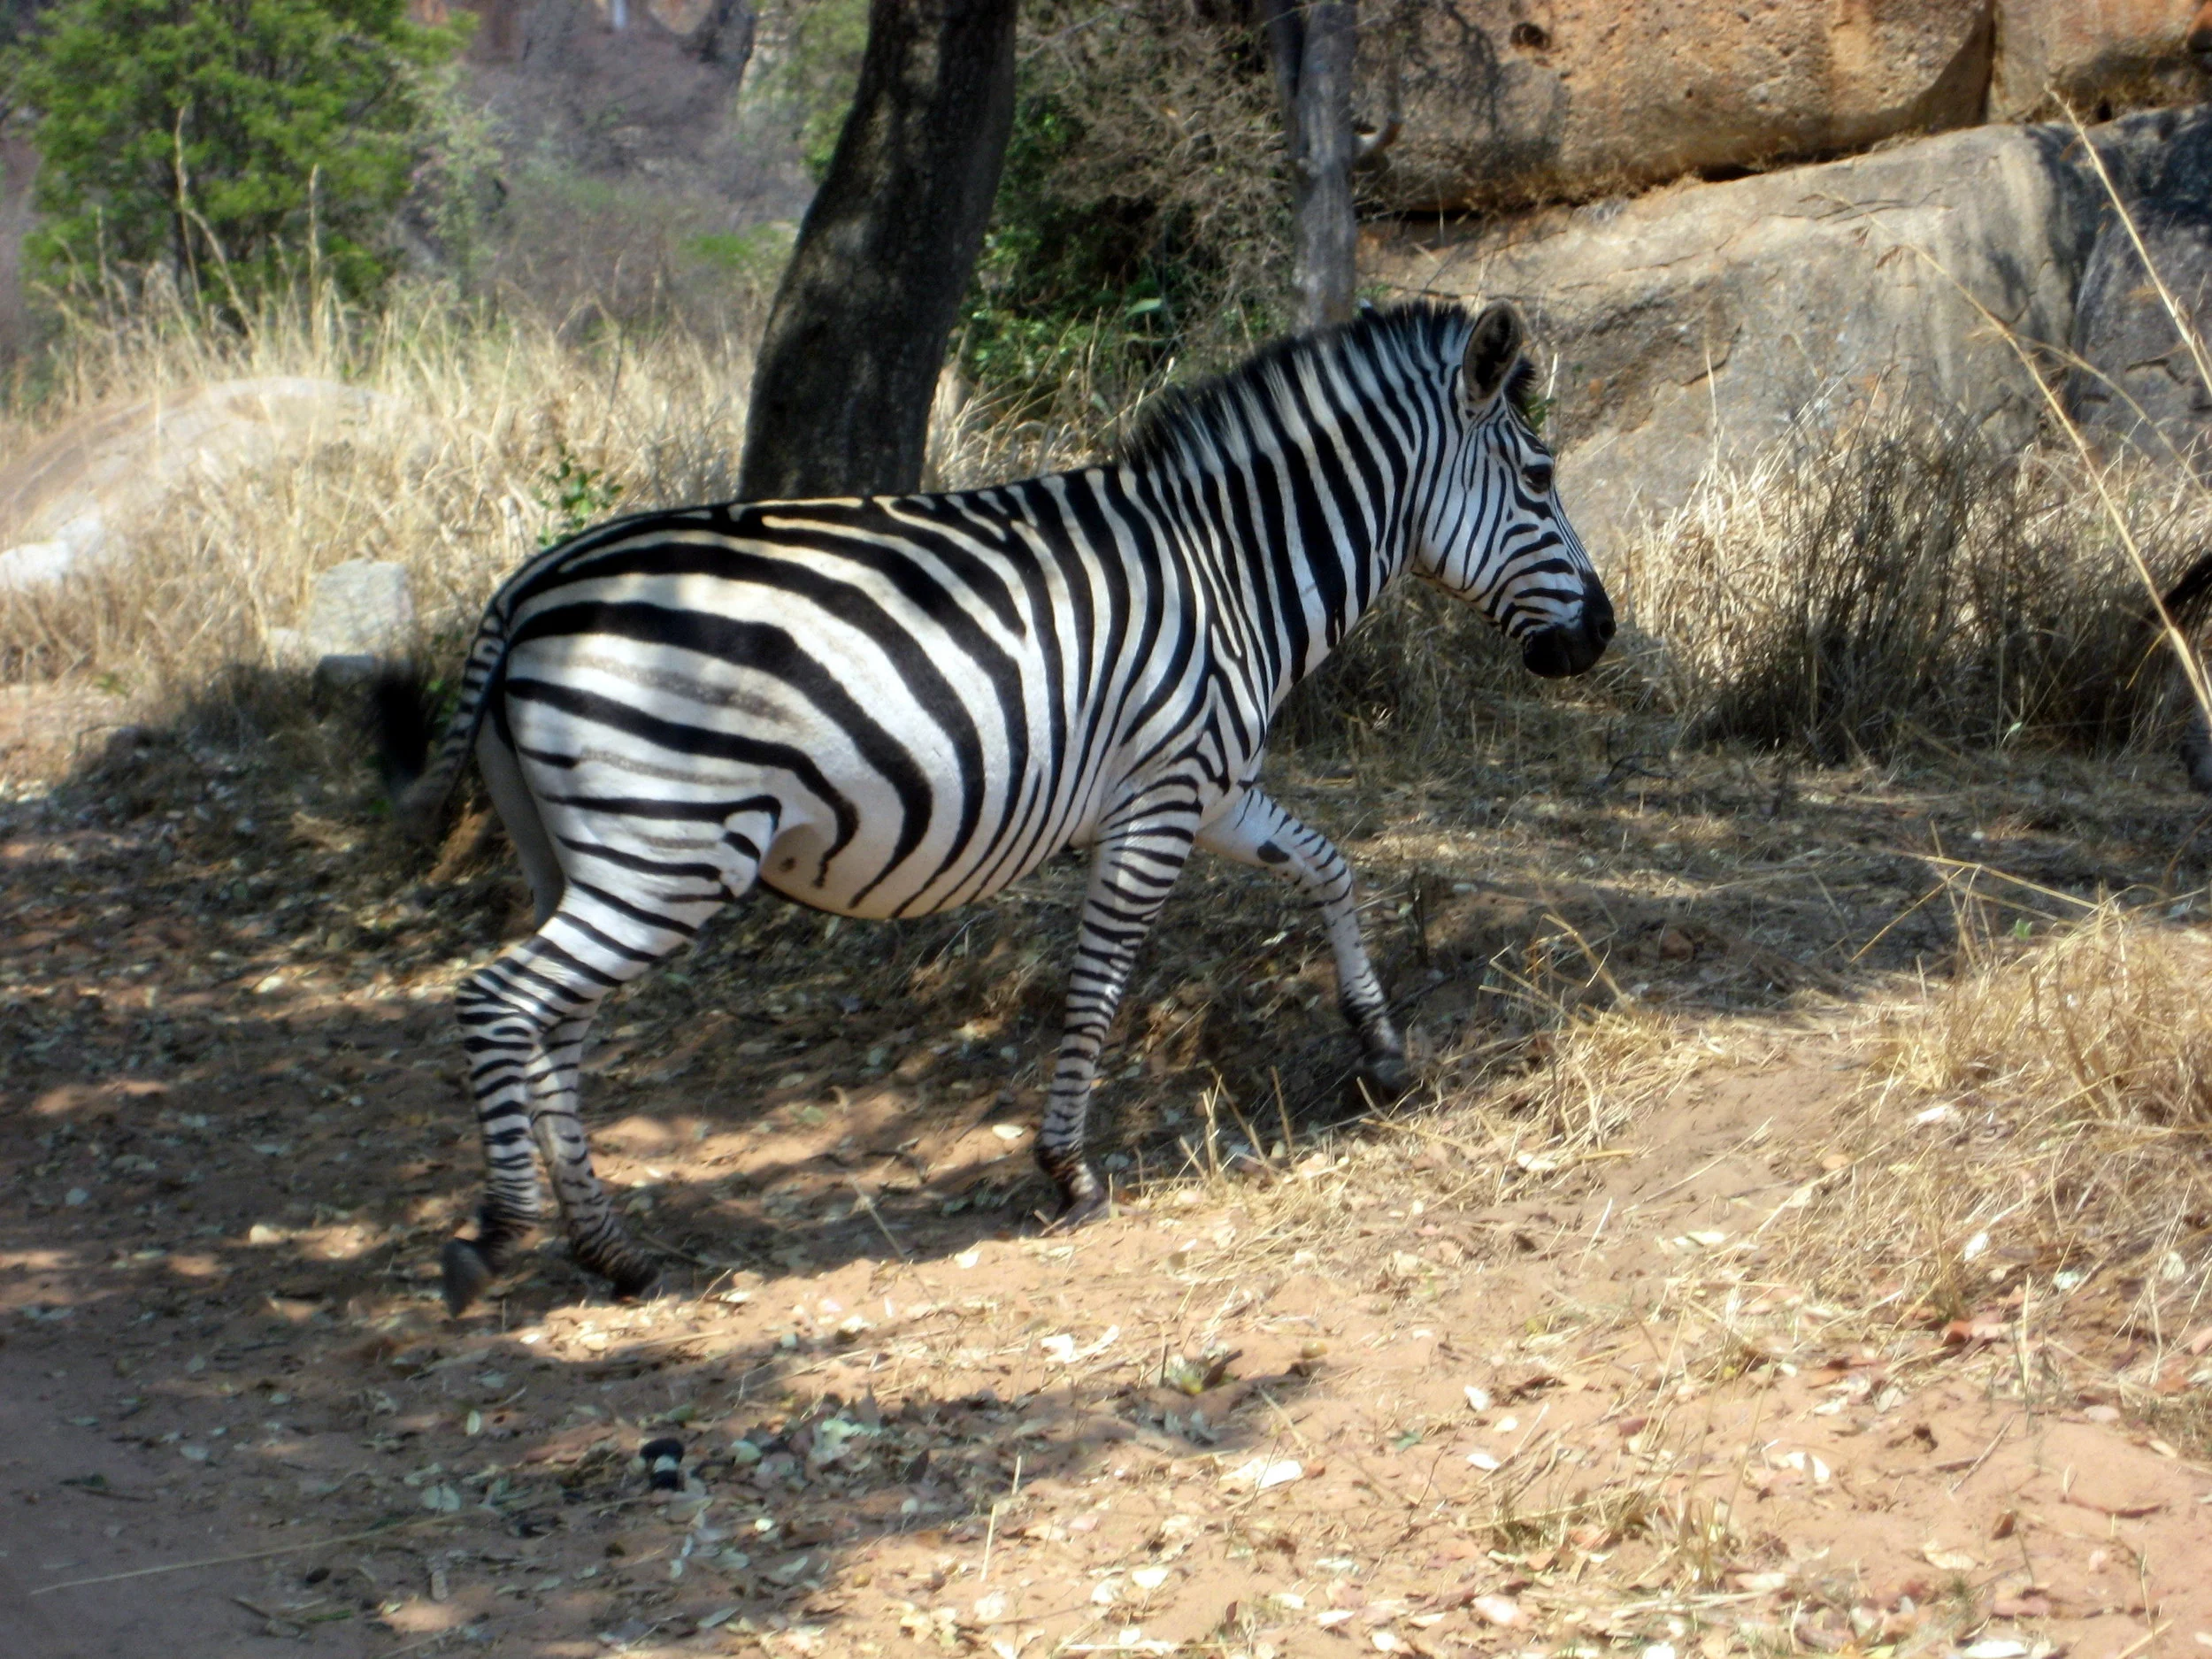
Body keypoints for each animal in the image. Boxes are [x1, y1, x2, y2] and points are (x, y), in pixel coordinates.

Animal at [378, 299, 1614, 1314]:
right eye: (1541, 479)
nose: (1600, 639)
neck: (1232, 565)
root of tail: (528, 587)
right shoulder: (1160, 800)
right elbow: (1098, 985)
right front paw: (1068, 1168)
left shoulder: (1220, 789)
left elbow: (1331, 865)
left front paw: (1381, 1047)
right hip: (672, 851)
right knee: (497, 1000)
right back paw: (496, 1236)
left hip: (584, 856)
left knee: (555, 1024)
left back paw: (613, 1252)